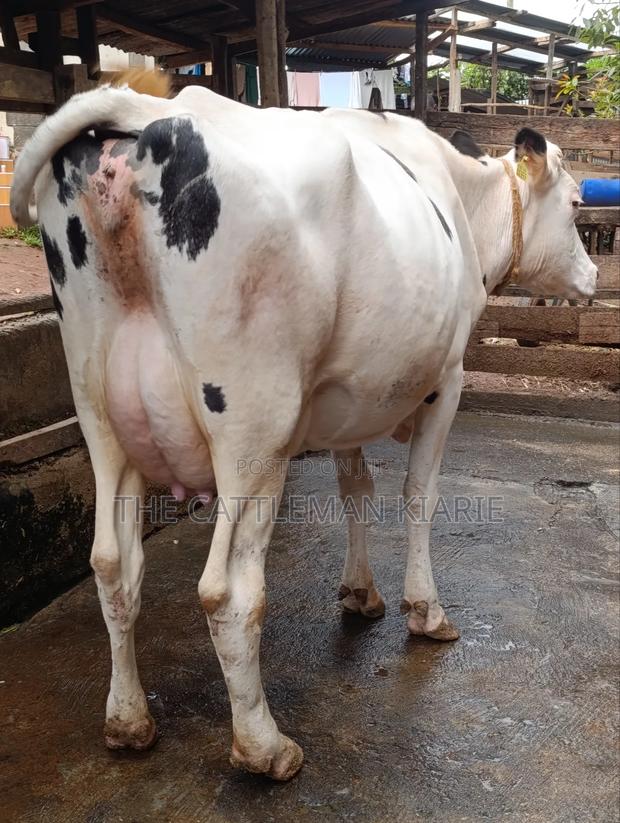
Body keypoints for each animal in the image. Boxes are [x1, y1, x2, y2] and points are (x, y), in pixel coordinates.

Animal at [11, 82, 597, 781]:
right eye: (575, 203)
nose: (595, 278)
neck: (459, 199)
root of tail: (144, 109)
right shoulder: (447, 379)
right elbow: (419, 496)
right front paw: (425, 610)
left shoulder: (350, 395)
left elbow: (356, 489)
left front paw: (360, 593)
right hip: (254, 433)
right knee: (228, 593)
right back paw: (264, 745)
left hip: (99, 412)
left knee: (112, 564)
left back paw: (128, 721)